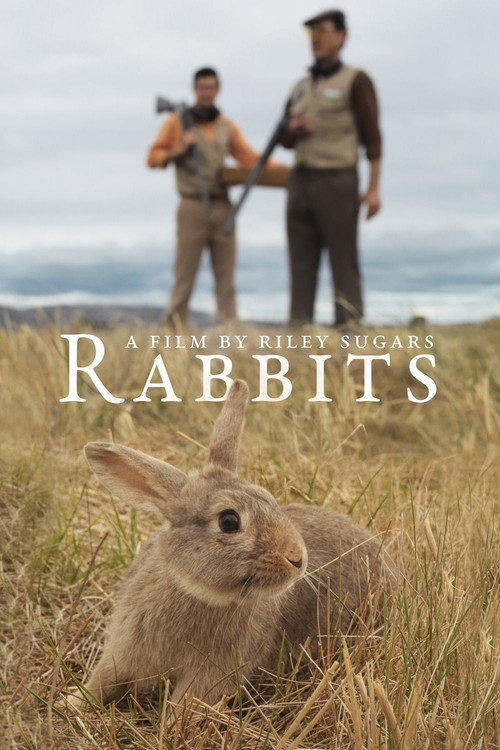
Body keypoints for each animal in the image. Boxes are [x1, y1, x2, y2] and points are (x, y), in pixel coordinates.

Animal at [81, 379, 396, 708]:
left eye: (269, 498)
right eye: (229, 521)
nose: (298, 559)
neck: (197, 590)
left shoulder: (213, 674)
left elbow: (188, 703)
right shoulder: (124, 650)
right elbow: (102, 681)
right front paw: (72, 703)